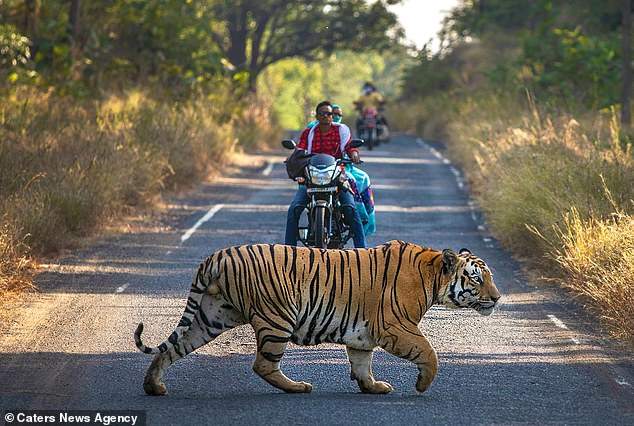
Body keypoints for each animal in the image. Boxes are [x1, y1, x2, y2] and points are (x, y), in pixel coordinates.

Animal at [133, 240, 498, 396]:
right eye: (477, 279)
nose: (496, 298)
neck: (433, 276)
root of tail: (217, 256)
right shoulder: (395, 326)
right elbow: (429, 352)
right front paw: (422, 385)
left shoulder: (363, 334)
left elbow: (362, 363)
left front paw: (372, 387)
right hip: (277, 317)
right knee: (263, 364)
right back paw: (298, 387)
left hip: (212, 316)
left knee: (173, 347)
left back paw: (154, 386)